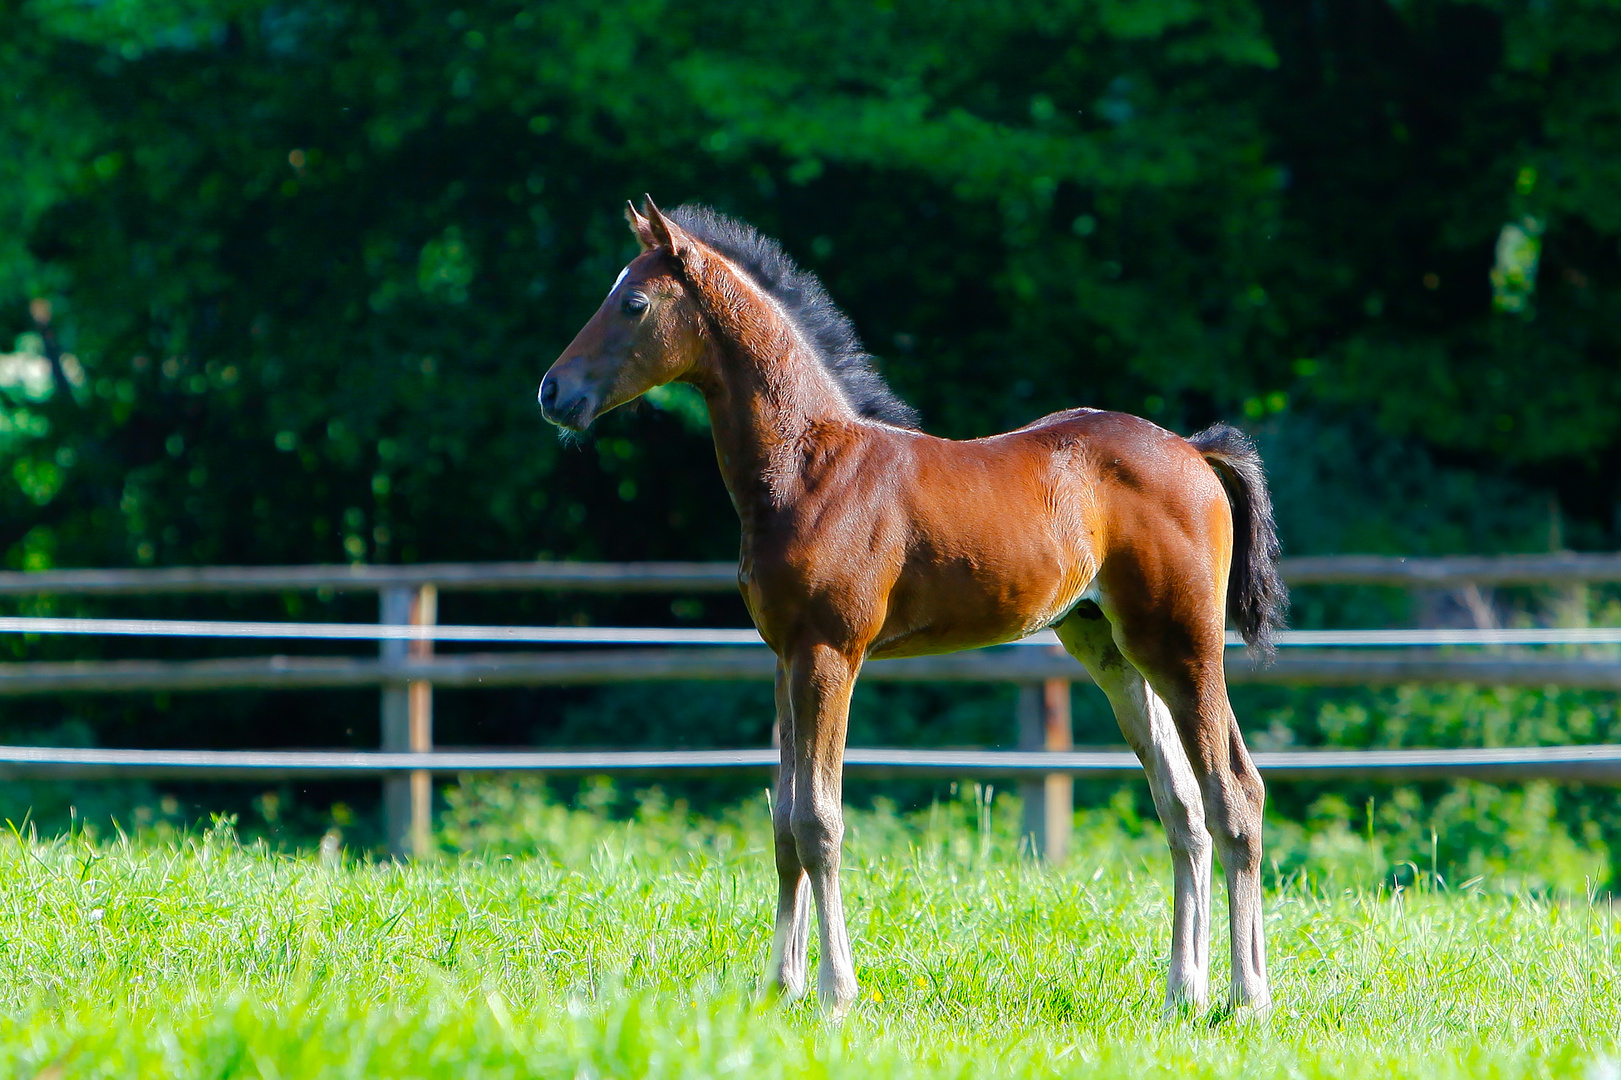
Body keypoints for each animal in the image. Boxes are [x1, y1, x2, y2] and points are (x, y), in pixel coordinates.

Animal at [538, 197, 1283, 1011]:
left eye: (634, 303)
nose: (552, 392)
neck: (810, 466)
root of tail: (1192, 449)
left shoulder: (830, 653)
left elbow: (818, 821)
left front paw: (835, 991)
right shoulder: (783, 658)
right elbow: (782, 823)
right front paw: (781, 988)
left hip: (1181, 644)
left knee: (1235, 794)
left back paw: (1248, 995)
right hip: (1110, 651)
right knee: (1181, 808)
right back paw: (1184, 991)